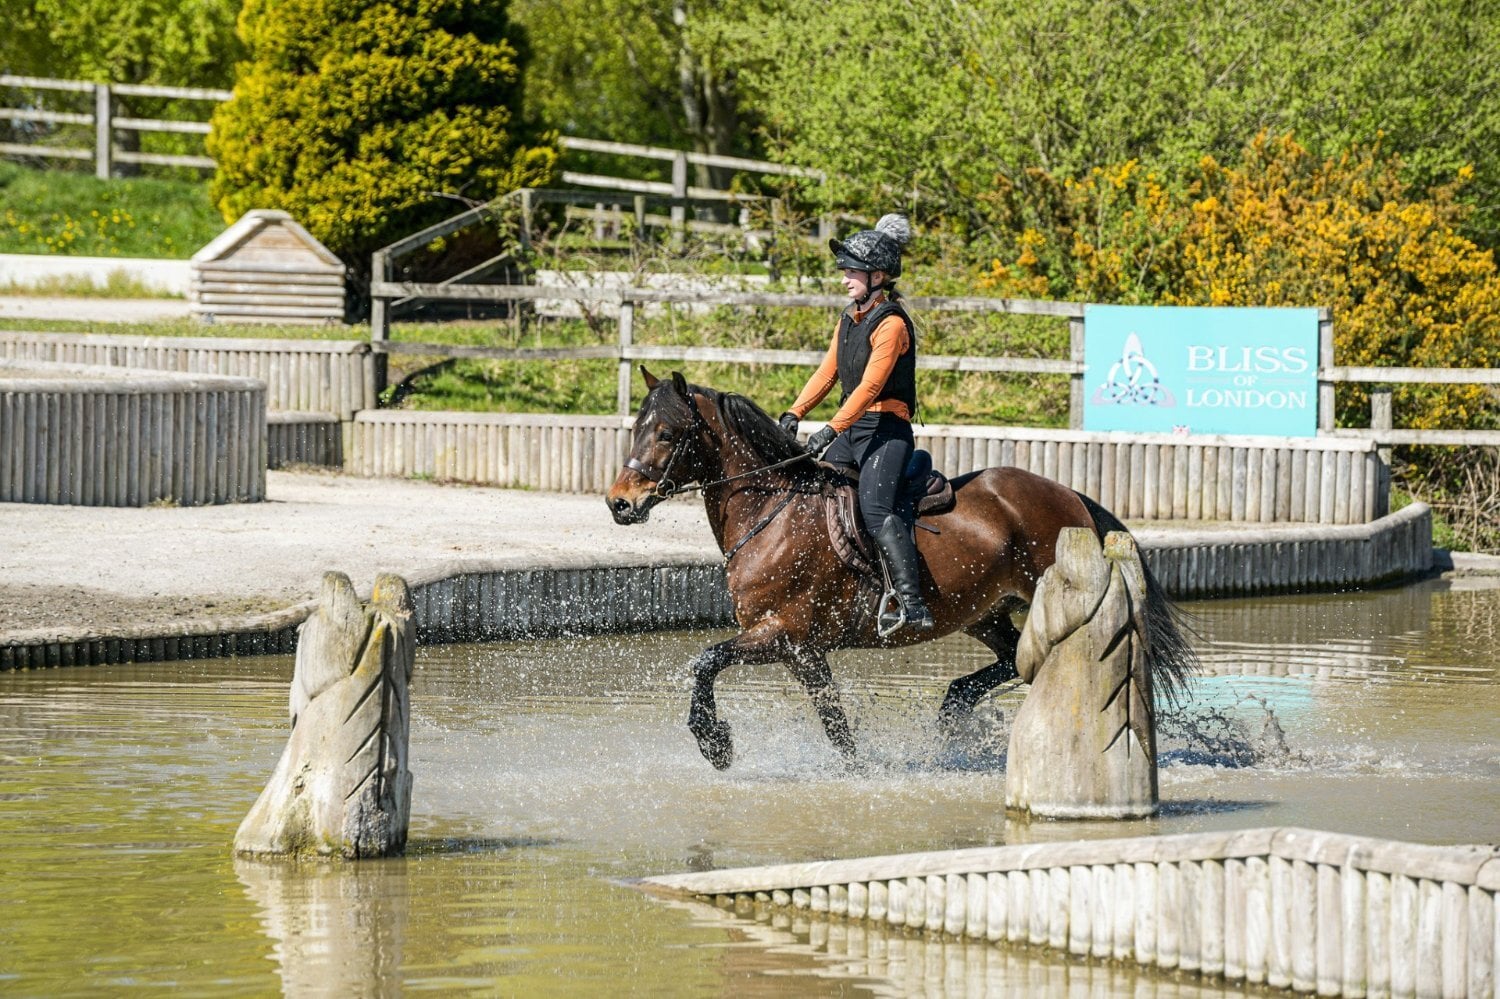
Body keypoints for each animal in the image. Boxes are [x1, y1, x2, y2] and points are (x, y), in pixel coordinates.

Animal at [606, 368, 1196, 770]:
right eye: (636, 428)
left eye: (666, 434)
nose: (620, 504)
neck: (772, 512)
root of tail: (1068, 494)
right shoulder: (804, 653)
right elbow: (835, 725)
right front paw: (856, 769)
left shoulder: (783, 634)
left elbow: (706, 661)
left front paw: (715, 743)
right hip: (981, 612)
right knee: (1010, 658)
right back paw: (953, 711)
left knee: (1029, 655)